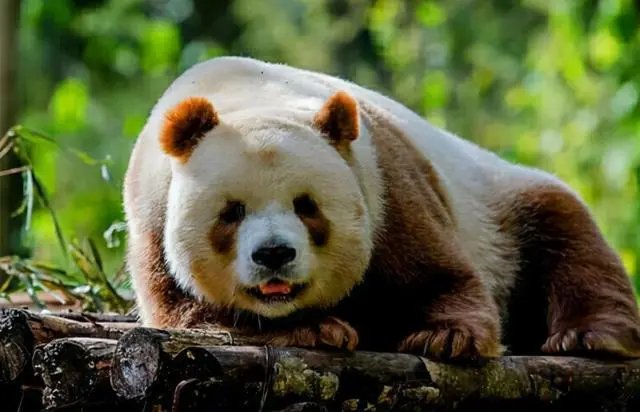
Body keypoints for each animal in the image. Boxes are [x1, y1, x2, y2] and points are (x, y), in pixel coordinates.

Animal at [122, 56, 640, 362]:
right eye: (231, 212)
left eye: (307, 206)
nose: (274, 255)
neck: (244, 98)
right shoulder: (152, 217)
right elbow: (190, 315)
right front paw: (318, 329)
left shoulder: (386, 180)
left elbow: (437, 271)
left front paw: (443, 338)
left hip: (500, 202)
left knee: (567, 234)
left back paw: (590, 336)